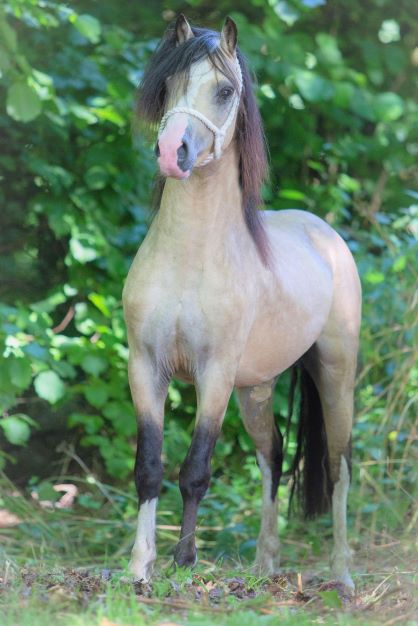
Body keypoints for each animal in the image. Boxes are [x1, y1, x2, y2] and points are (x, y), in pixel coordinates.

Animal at [122, 15, 360, 588]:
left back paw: (341, 574)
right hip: (257, 388)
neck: (189, 258)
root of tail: (325, 234)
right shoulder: (145, 367)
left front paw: (185, 564)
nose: (172, 153)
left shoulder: (215, 375)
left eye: (225, 91)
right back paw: (263, 564)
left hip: (336, 373)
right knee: (271, 454)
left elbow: (195, 470)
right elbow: (149, 467)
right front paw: (140, 568)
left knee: (338, 464)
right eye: (168, 85)